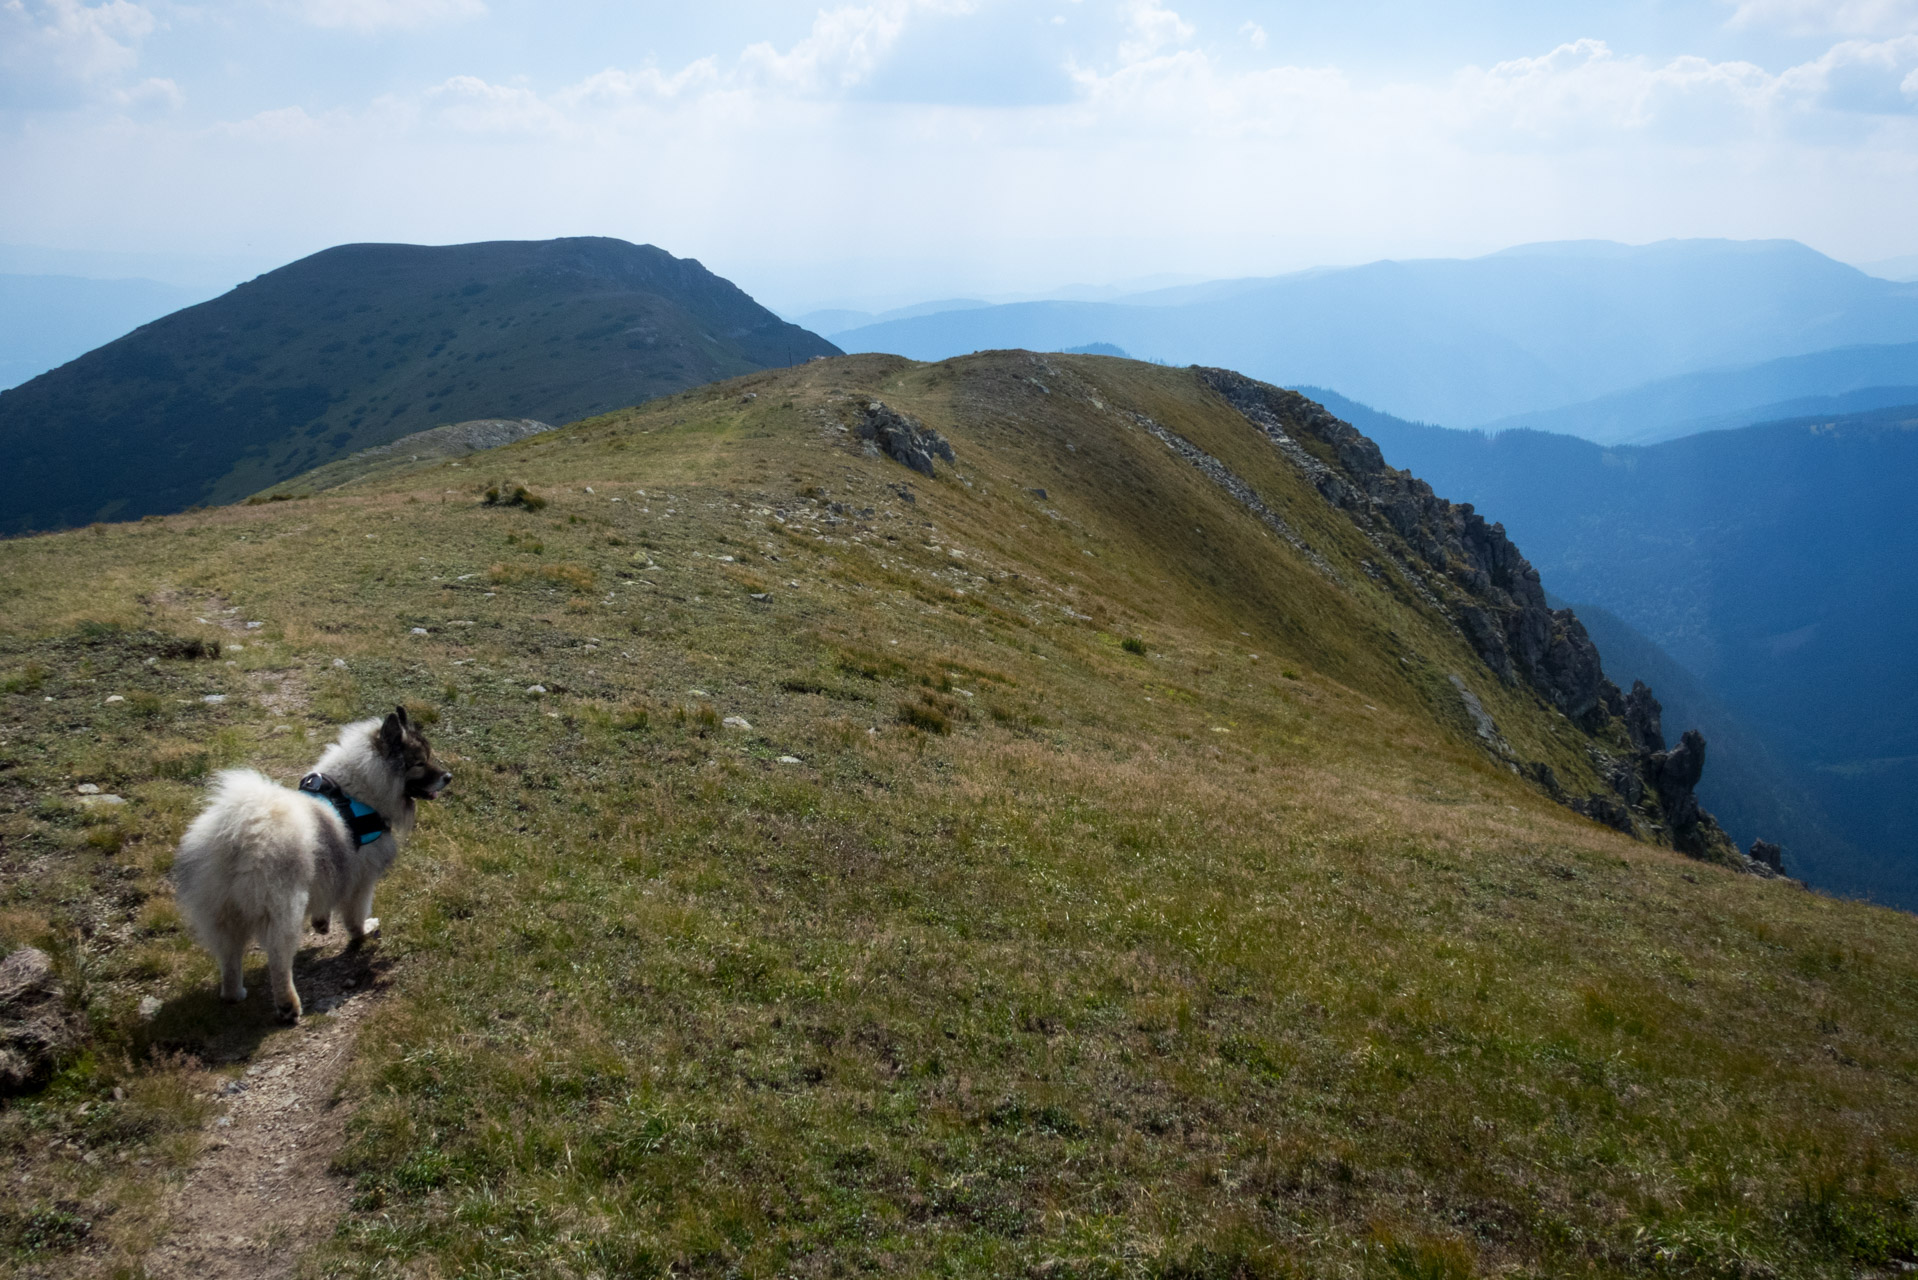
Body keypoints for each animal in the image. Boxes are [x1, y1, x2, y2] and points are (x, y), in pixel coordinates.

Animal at [174, 710, 450, 1020]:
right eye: (419, 763)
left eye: (429, 756)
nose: (448, 777)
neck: (359, 794)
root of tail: (237, 836)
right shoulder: (361, 880)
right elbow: (355, 915)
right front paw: (363, 932)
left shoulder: (329, 873)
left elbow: (325, 902)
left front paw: (322, 923)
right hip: (283, 909)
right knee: (279, 961)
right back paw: (288, 1005)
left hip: (222, 912)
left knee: (229, 957)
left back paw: (234, 993)